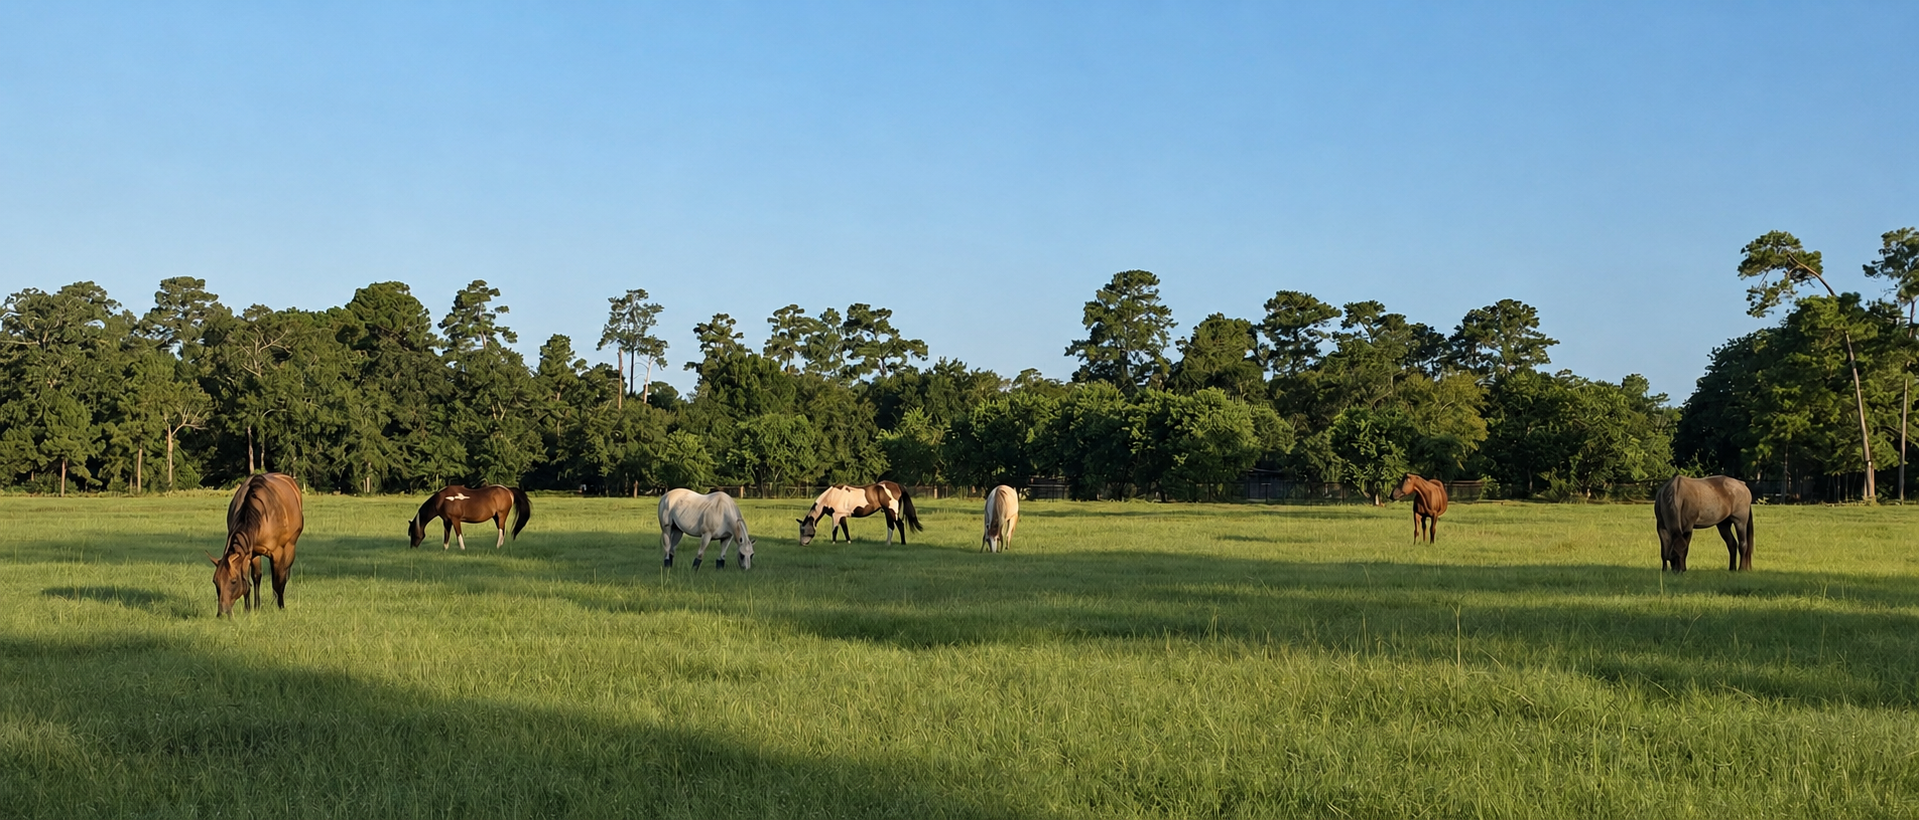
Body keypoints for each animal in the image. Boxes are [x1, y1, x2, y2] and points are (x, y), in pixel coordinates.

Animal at [207, 472, 304, 617]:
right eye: (215, 581)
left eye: (233, 581)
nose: (222, 613)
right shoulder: (250, 552)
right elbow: (252, 580)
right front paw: (252, 608)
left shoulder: (277, 552)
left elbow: (278, 581)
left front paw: (280, 607)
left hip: (290, 546)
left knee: (283, 575)